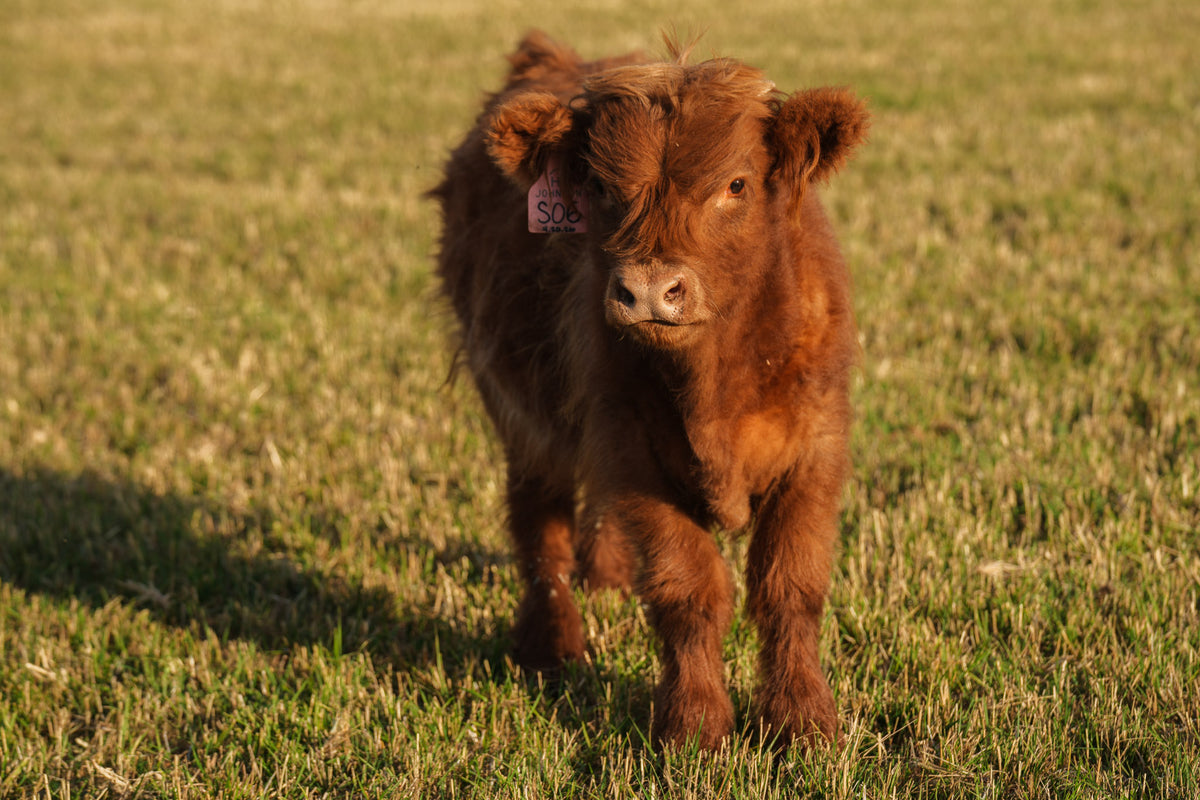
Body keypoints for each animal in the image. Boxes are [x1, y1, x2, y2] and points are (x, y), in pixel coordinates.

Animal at [431, 30, 868, 750]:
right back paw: (552, 642)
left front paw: (803, 721)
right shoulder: (631, 449)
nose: (648, 291)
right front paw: (694, 726)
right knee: (538, 516)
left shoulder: (816, 448)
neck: (712, 386)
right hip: (519, 410)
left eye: (736, 184)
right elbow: (687, 589)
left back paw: (605, 578)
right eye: (600, 187)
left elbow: (789, 586)